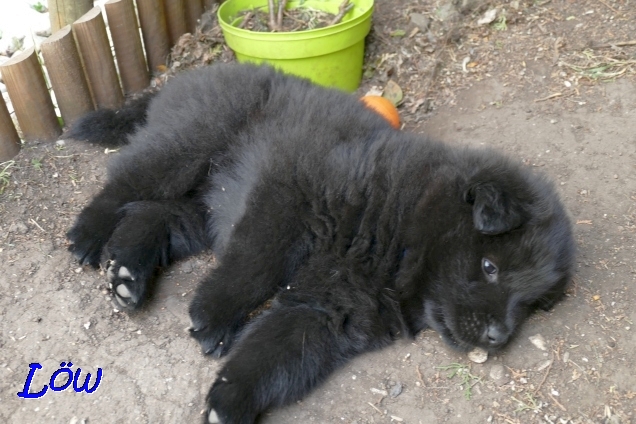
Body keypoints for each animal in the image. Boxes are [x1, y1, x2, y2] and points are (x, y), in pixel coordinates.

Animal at [66, 63, 576, 424]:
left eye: (529, 304)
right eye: (490, 267)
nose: (498, 337)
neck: (399, 229)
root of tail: (188, 77)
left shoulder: (329, 312)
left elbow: (273, 354)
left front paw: (228, 401)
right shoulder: (283, 199)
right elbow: (254, 265)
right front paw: (213, 310)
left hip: (203, 206)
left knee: (151, 214)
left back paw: (127, 276)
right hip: (188, 145)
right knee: (124, 185)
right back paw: (87, 236)